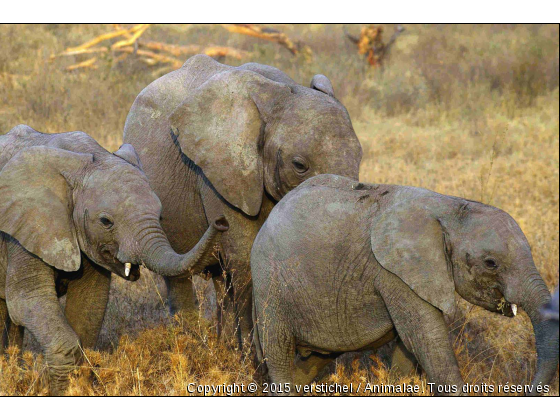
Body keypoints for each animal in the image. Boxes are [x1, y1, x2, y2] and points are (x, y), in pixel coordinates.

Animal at [0, 124, 229, 394]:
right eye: (105, 221)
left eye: (160, 214)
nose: (221, 221)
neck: (82, 161)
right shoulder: (26, 226)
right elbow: (26, 299)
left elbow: (89, 303)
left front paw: (78, 388)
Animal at [123, 54, 364, 342]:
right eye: (299, 165)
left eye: (360, 157)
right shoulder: (220, 176)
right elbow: (243, 255)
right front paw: (252, 355)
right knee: (179, 275)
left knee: (220, 280)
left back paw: (224, 346)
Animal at [252, 175, 556, 398]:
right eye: (491, 263)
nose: (526, 391)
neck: (449, 207)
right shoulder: (395, 273)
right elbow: (426, 339)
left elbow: (409, 347)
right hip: (269, 281)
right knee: (277, 349)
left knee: (313, 358)